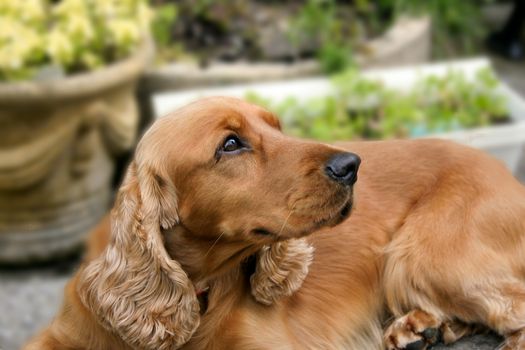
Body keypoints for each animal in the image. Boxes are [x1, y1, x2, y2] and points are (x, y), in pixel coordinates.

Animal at [24, 97, 524, 348]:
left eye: (277, 127)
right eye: (230, 144)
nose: (351, 165)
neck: (198, 295)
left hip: (422, 255)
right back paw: (424, 329)